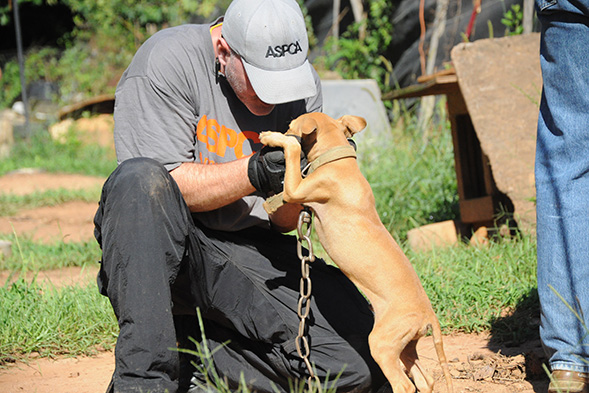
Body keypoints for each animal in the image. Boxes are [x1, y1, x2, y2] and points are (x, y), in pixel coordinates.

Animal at [258, 112, 454, 392]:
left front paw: (273, 137)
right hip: (405, 346)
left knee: (404, 385)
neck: (337, 159)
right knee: (424, 380)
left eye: (290, 125)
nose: (279, 130)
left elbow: (293, 149)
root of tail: (429, 316)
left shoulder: (295, 189)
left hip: (383, 344)